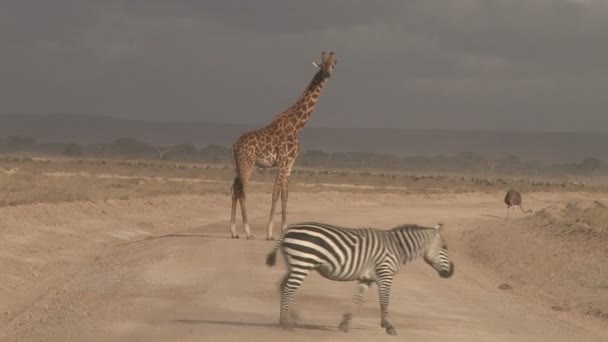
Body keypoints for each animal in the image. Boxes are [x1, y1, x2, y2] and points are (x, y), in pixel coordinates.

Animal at [228, 51, 338, 240]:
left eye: (332, 65)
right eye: (322, 65)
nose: (328, 74)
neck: (298, 126)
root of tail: (235, 145)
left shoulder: (289, 164)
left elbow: (285, 196)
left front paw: (284, 229)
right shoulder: (282, 162)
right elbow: (275, 194)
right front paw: (269, 232)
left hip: (238, 165)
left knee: (235, 189)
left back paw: (234, 232)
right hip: (247, 164)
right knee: (242, 191)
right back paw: (248, 232)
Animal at [264, 220, 454, 336]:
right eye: (445, 247)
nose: (452, 272)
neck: (397, 248)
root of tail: (288, 229)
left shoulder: (366, 279)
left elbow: (358, 300)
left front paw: (344, 324)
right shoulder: (385, 274)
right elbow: (384, 301)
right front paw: (388, 326)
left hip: (294, 264)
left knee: (282, 285)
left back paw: (290, 317)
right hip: (302, 262)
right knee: (289, 288)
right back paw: (286, 323)